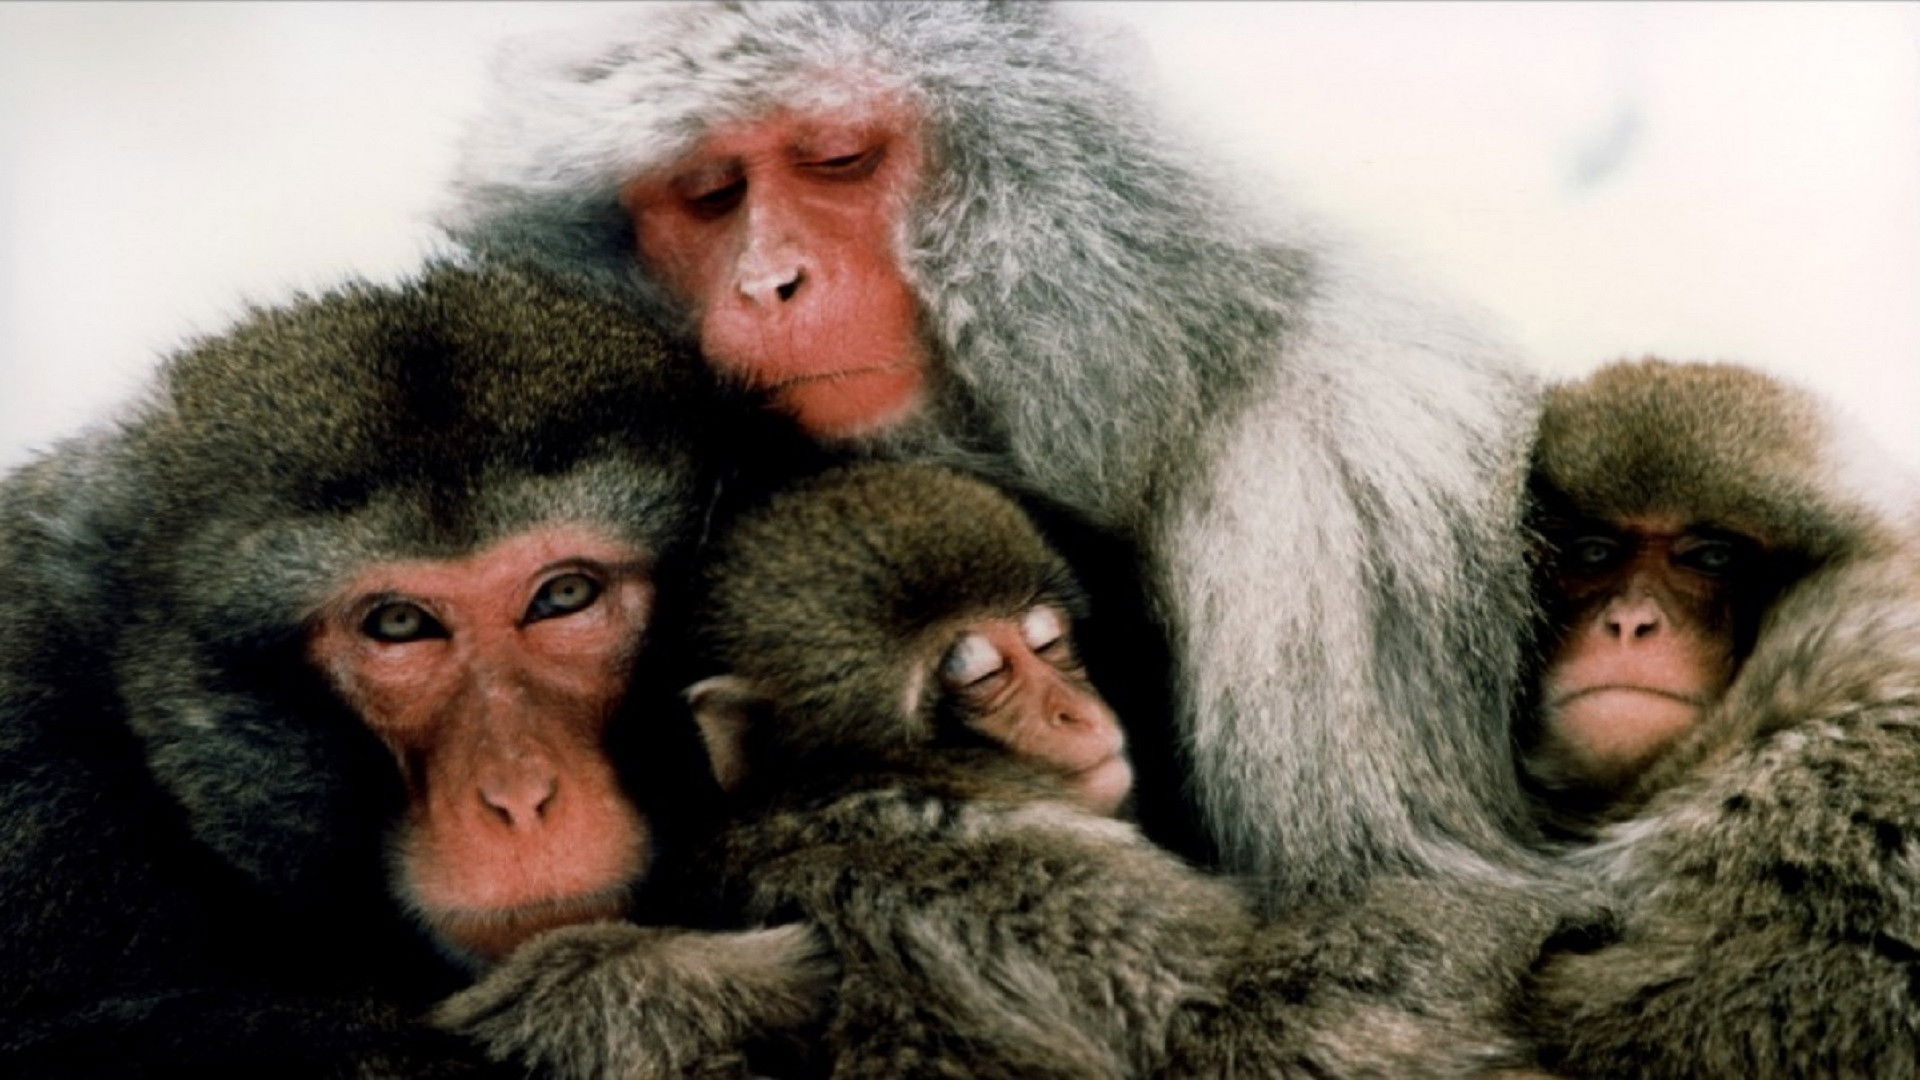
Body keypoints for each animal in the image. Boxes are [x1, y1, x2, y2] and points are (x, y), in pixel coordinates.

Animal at [438, 463, 1567, 1080]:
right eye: (974, 674)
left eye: (1046, 641)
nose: (1076, 711)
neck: (836, 794)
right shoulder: (1022, 875)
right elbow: (1255, 1033)